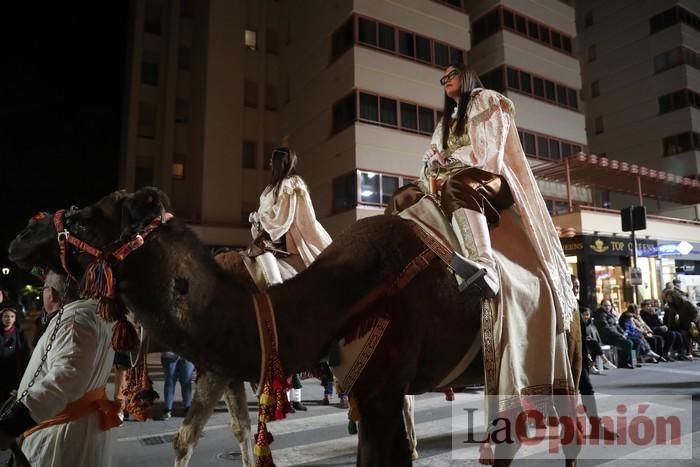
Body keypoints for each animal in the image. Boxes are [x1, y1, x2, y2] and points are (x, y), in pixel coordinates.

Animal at [8, 187, 584, 467]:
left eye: (82, 217)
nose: (21, 236)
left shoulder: (378, 387)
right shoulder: (241, 365)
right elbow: (211, 436)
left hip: (555, 353)